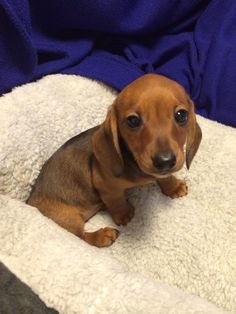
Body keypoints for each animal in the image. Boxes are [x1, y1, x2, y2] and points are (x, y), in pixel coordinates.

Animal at [26, 74, 202, 248]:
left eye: (181, 115)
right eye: (133, 121)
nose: (165, 161)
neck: (134, 163)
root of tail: (29, 202)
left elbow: (164, 177)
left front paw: (173, 186)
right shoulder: (105, 185)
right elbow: (116, 200)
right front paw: (123, 214)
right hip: (66, 217)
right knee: (81, 236)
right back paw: (102, 236)